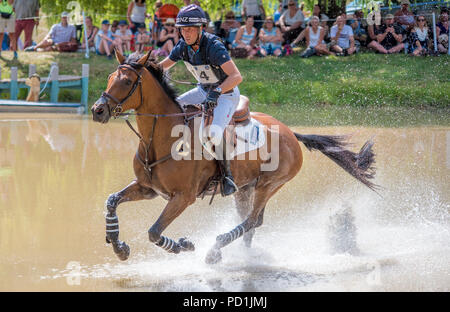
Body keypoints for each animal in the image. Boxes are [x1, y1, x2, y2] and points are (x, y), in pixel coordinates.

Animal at [90, 50, 376, 264]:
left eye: (127, 82)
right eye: (110, 77)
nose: (97, 110)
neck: (160, 139)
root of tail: (290, 133)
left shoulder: (183, 197)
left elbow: (154, 232)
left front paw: (184, 244)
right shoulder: (148, 188)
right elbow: (112, 201)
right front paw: (118, 246)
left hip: (269, 185)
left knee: (252, 220)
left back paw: (215, 250)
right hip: (244, 187)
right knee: (249, 223)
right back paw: (241, 256)